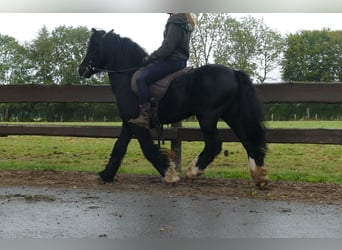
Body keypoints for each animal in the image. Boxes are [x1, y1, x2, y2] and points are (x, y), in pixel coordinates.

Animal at [79, 28, 268, 187]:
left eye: (94, 47)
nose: (81, 69)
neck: (129, 75)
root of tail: (234, 72)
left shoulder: (136, 124)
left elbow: (147, 149)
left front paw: (169, 174)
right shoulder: (129, 122)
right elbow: (119, 147)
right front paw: (106, 175)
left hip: (208, 116)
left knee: (214, 144)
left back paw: (193, 171)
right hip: (232, 115)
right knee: (248, 141)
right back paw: (259, 176)